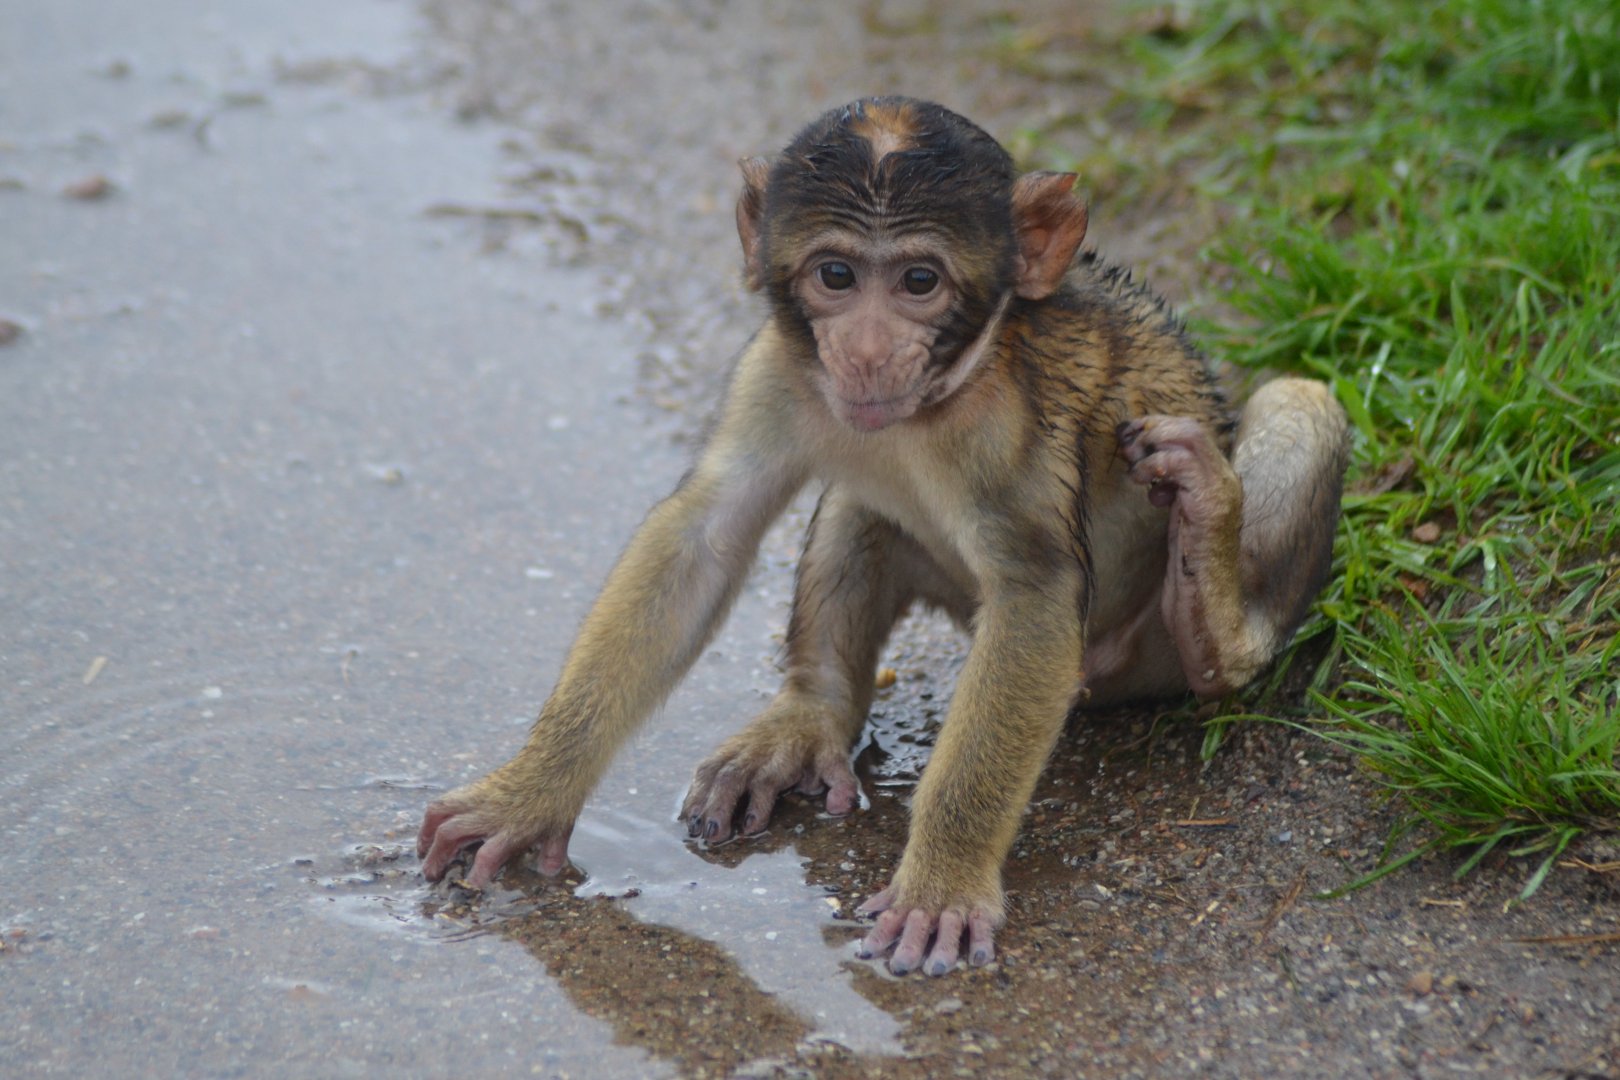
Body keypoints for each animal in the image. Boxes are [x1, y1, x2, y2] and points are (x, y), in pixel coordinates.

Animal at [418, 97, 1350, 978]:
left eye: (918, 280)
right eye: (836, 274)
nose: (865, 351)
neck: (940, 398)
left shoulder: (1003, 422)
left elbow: (1036, 591)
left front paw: (943, 879)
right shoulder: (778, 365)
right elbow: (705, 531)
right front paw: (531, 792)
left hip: (1156, 643)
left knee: (1299, 406)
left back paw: (1212, 605)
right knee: (860, 504)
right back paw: (814, 716)